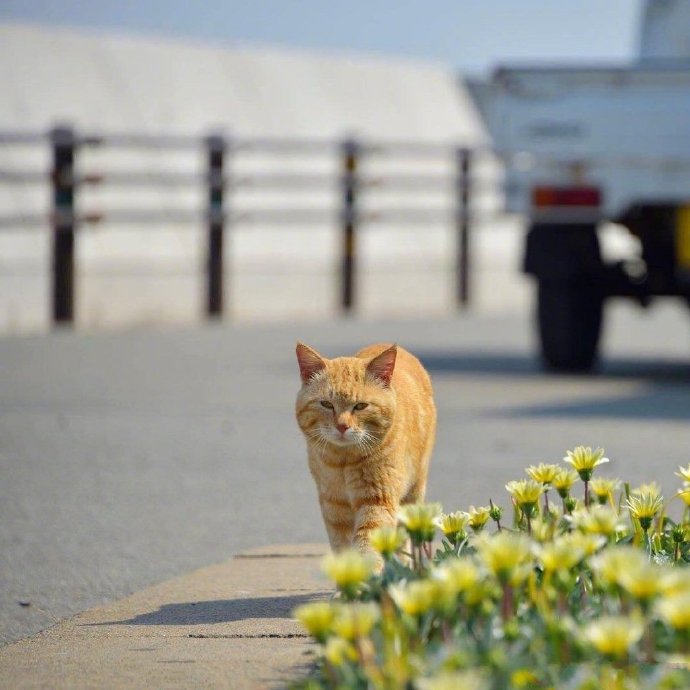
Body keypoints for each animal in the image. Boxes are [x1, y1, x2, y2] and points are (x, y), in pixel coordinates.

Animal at [292, 342, 432, 552]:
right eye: (326, 404)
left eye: (360, 406)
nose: (342, 426)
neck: (342, 462)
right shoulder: (334, 508)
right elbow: (343, 549)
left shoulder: (377, 502)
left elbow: (368, 545)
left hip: (414, 493)